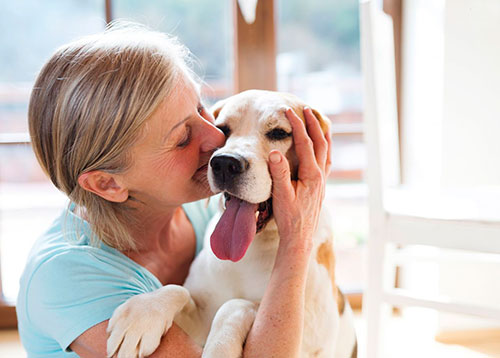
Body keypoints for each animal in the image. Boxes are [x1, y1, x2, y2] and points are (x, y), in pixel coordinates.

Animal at [106, 90, 356, 358]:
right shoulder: (199, 320)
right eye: (222, 129)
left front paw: (220, 347)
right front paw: (143, 313)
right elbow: (178, 289)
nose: (225, 163)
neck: (251, 251)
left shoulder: (308, 339)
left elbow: (236, 305)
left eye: (279, 133)